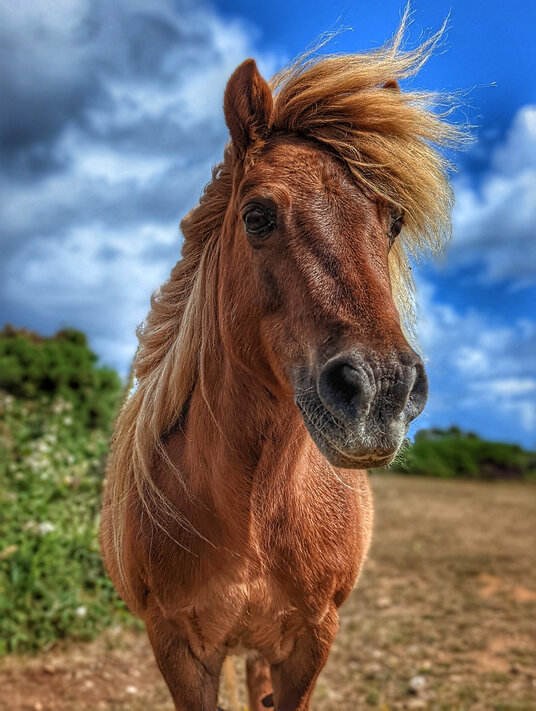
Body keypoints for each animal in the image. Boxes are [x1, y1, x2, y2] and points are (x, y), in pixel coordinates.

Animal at [100, 15, 465, 711]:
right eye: (257, 215)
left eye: (394, 222)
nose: (381, 391)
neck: (254, 512)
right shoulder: (179, 647)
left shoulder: (310, 639)